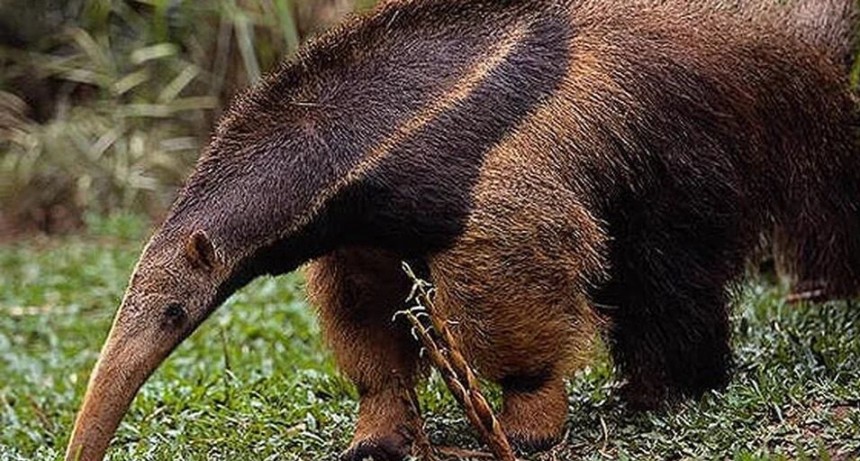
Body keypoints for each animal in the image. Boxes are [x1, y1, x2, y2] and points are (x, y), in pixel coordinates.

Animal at [66, 0, 859, 460]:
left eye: (175, 313)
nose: (81, 449)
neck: (342, 135)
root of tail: (743, 43)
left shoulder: (481, 153)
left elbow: (502, 277)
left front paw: (529, 419)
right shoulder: (365, 215)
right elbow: (367, 302)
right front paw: (378, 433)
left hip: (668, 144)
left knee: (666, 268)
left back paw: (670, 389)